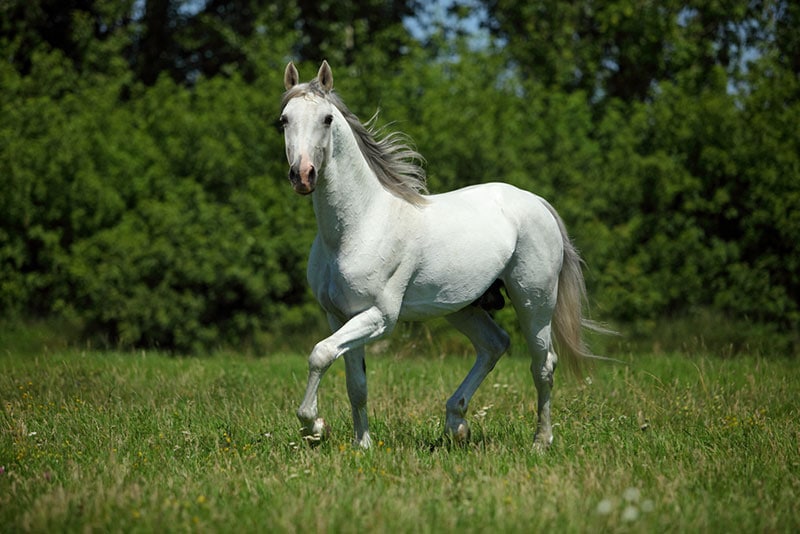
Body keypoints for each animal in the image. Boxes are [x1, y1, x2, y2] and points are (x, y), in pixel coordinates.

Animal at [280, 60, 600, 451]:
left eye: (327, 119)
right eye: (283, 119)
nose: (303, 176)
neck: (360, 225)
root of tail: (536, 201)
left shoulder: (379, 317)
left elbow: (320, 354)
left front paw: (314, 426)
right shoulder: (340, 316)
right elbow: (356, 384)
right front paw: (362, 447)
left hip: (534, 301)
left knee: (543, 365)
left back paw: (540, 442)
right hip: (463, 307)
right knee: (495, 345)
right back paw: (456, 423)